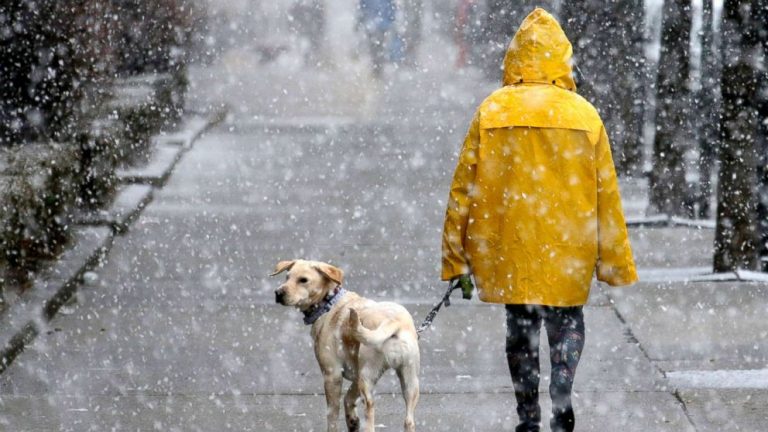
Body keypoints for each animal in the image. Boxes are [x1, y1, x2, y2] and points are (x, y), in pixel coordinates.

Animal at [272, 260, 420, 432]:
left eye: (303, 280)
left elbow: (332, 414)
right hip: (409, 381)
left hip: (367, 378)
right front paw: (352, 421)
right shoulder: (356, 376)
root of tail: (393, 321)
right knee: (409, 421)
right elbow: (348, 399)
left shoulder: (332, 375)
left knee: (370, 410)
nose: (278, 293)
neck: (329, 302)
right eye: (287, 277)